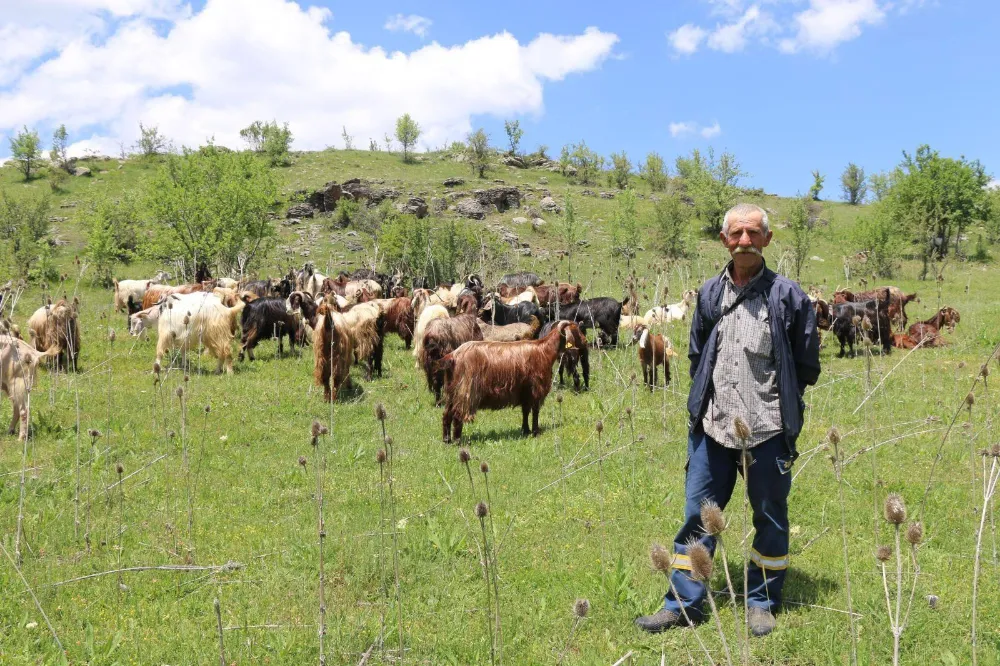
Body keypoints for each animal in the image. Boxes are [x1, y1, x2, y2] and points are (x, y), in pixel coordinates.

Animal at [440, 318, 584, 440]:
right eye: (576, 330)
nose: (585, 341)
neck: (544, 350)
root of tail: (453, 356)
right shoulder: (536, 389)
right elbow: (535, 411)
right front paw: (535, 432)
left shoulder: (525, 391)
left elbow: (525, 411)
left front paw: (525, 430)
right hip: (465, 391)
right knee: (457, 415)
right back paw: (457, 441)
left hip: (453, 390)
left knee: (447, 414)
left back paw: (447, 440)